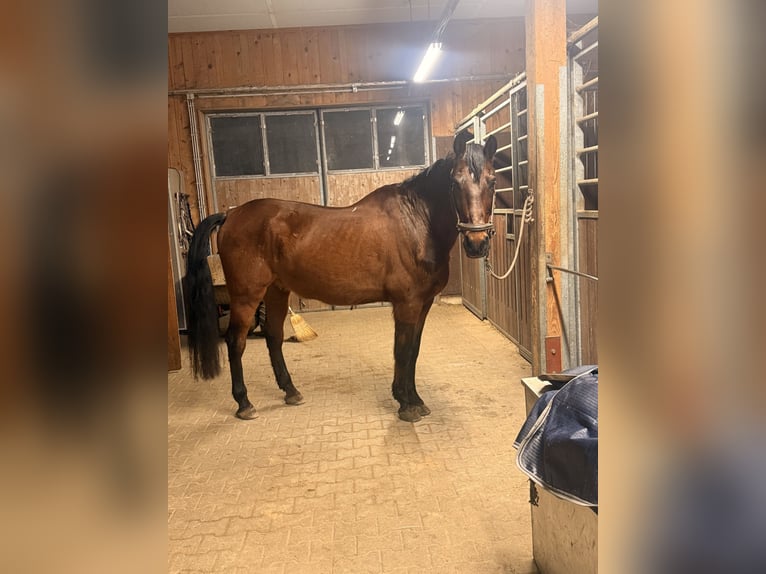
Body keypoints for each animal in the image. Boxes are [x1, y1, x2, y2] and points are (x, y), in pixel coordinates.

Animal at [184, 130, 498, 422]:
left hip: (276, 290)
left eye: (492, 181)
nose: (477, 243)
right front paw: (406, 403)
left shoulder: (423, 304)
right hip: (247, 295)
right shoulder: (406, 305)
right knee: (235, 342)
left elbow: (414, 351)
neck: (416, 222)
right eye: (454, 182)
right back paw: (244, 403)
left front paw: (416, 400)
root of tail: (230, 216)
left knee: (273, 336)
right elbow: (403, 351)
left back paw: (291, 391)